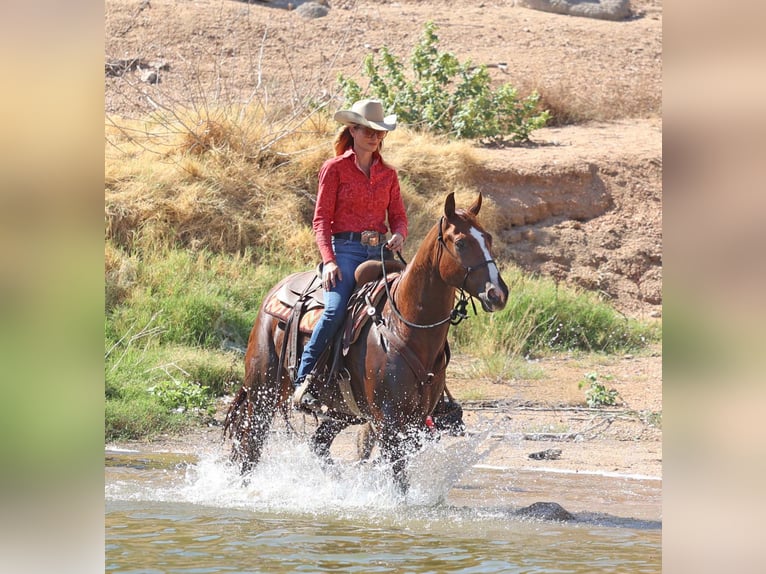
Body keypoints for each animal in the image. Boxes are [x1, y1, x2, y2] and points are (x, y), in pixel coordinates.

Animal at [224, 192, 510, 490]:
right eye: (461, 242)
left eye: (488, 239)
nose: (498, 293)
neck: (404, 325)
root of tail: (276, 291)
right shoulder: (388, 421)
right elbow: (398, 478)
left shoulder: (415, 419)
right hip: (263, 392)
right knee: (250, 447)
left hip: (341, 411)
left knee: (317, 445)